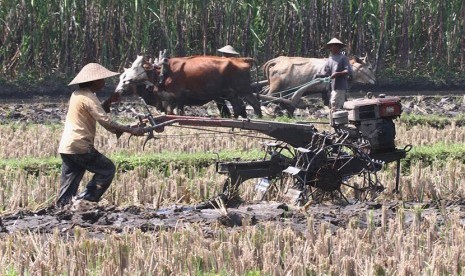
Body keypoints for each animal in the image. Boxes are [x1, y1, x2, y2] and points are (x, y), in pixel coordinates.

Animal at [114, 55, 260, 117]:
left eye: (136, 68)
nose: (118, 89)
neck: (164, 72)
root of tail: (243, 60)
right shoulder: (168, 99)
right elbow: (171, 112)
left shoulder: (178, 96)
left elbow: (179, 112)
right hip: (232, 93)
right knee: (239, 107)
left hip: (243, 90)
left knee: (253, 104)